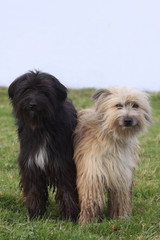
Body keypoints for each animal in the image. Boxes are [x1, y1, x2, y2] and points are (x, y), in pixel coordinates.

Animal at [8, 70, 79, 220]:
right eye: (27, 89)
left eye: (44, 91)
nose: (33, 104)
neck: (41, 127)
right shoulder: (31, 164)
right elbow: (34, 190)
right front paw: (35, 214)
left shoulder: (63, 164)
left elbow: (67, 189)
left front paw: (70, 216)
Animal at [73, 87, 152, 224]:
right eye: (118, 105)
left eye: (135, 105)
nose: (128, 120)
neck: (113, 137)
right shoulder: (92, 173)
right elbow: (90, 200)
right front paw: (87, 222)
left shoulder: (121, 174)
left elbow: (120, 199)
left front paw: (119, 218)